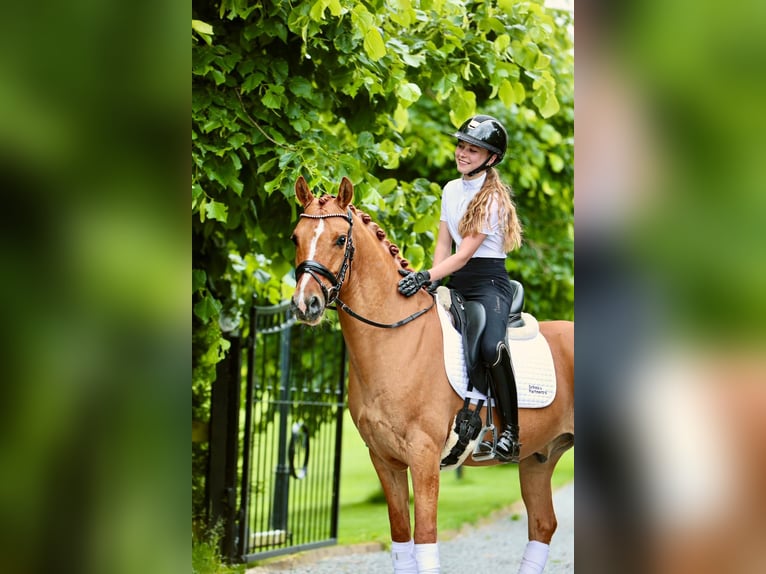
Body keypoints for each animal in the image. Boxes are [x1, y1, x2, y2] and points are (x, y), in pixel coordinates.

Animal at [292, 178, 572, 572]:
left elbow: (425, 539)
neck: (396, 338)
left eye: (340, 239)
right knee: (542, 524)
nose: (306, 304)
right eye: (295, 237)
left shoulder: (424, 457)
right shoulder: (384, 460)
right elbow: (401, 539)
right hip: (537, 459)